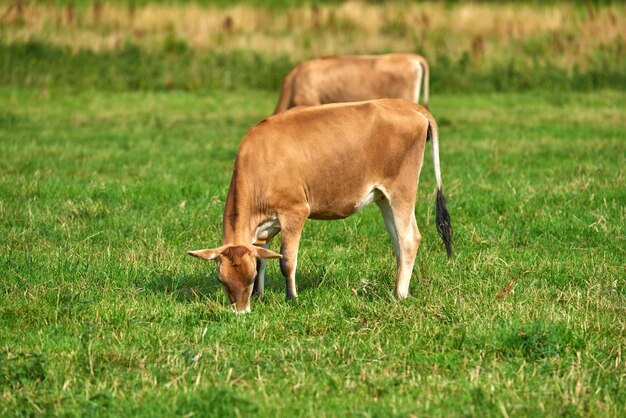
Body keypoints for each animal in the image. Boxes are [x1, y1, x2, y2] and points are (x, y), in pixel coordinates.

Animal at [188, 99, 450, 310]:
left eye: (249, 278)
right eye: (221, 279)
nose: (240, 311)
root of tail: (407, 105)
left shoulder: (294, 212)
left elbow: (286, 260)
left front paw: (291, 298)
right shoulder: (264, 228)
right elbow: (263, 257)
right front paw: (260, 296)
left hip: (401, 190)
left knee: (409, 239)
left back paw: (400, 294)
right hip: (384, 198)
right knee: (398, 241)